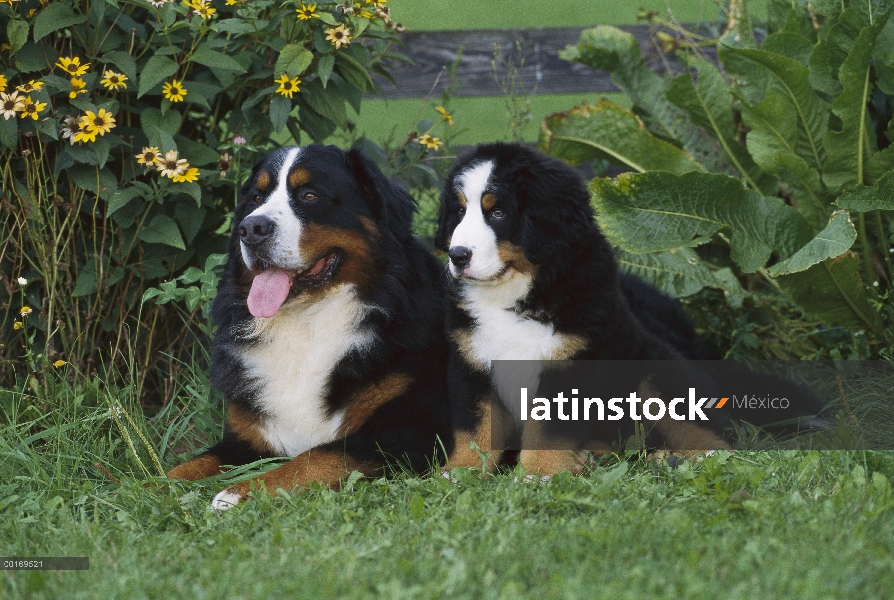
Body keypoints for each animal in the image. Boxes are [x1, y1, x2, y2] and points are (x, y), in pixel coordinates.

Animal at [166, 144, 456, 506]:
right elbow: (188, 465)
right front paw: (137, 489)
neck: (307, 322)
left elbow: (314, 458)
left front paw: (235, 494)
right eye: (256, 198)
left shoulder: (410, 430)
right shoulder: (248, 435)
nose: (251, 229)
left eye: (310, 195)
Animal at [436, 143, 824, 476]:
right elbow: (475, 428)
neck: (515, 290)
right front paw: (461, 473)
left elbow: (547, 432)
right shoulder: (473, 363)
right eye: (460, 211)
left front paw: (538, 475)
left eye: (498, 212)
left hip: (657, 377)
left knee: (706, 435)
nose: (458, 256)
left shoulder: (570, 365)